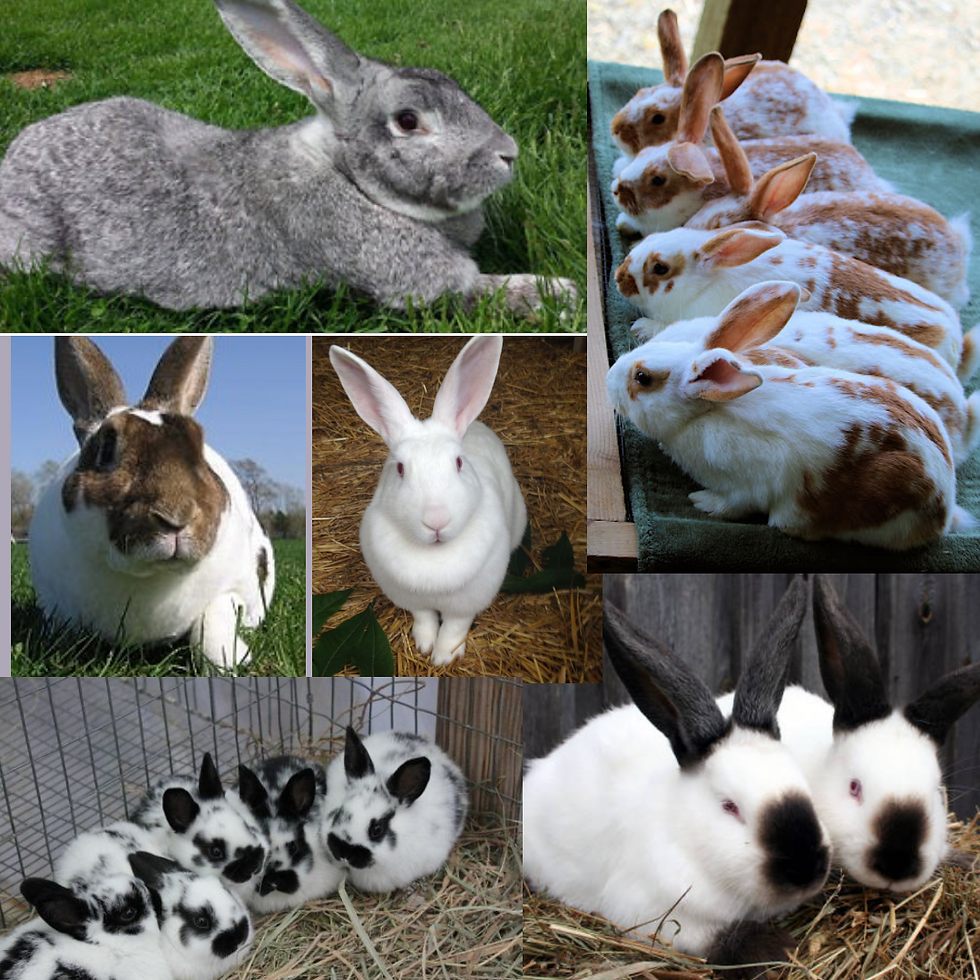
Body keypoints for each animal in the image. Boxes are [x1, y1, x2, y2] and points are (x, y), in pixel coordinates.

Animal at [0, 0, 574, 316]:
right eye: (408, 121)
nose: (508, 153)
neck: (348, 177)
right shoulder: (417, 280)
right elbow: (479, 291)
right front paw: (558, 294)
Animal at [27, 336, 275, 668]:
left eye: (199, 447)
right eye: (106, 448)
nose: (176, 518)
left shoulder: (234, 591)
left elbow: (209, 625)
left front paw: (232, 660)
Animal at [329, 335, 527, 666]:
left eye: (459, 462)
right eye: (399, 469)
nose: (436, 521)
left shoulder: (467, 603)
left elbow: (454, 628)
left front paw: (443, 657)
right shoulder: (412, 599)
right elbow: (424, 619)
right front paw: (423, 645)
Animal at [524, 578, 830, 970]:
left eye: (802, 784)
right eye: (729, 806)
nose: (806, 866)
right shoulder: (655, 913)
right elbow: (712, 938)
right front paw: (775, 949)